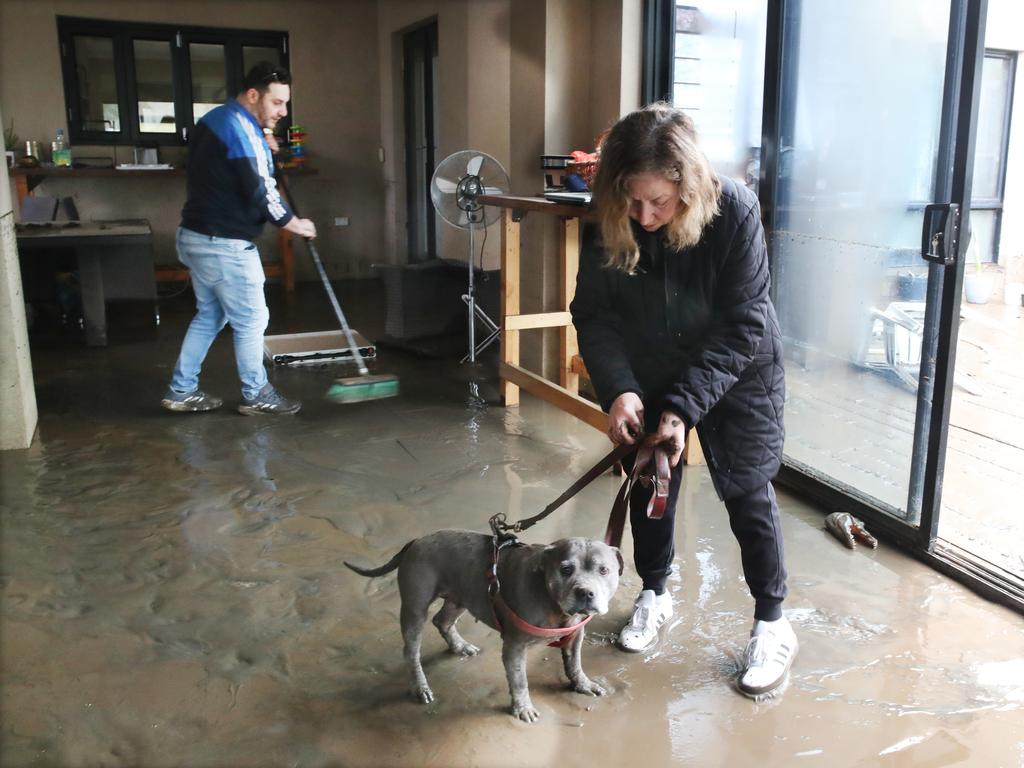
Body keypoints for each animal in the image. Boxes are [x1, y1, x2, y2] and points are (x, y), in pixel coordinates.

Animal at [342, 528, 622, 720]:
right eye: (565, 569)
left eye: (604, 570)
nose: (585, 592)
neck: (552, 601)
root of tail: (416, 541)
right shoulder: (514, 647)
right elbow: (520, 681)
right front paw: (523, 708)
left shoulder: (576, 636)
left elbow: (575, 664)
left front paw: (583, 684)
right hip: (414, 608)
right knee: (411, 651)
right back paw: (421, 687)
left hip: (461, 596)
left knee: (442, 621)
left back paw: (460, 646)